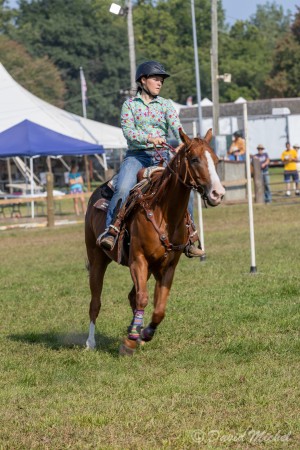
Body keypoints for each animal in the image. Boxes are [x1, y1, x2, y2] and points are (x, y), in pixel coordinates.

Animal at [84, 128, 225, 354]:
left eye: (216, 159)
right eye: (194, 159)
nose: (217, 194)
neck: (163, 213)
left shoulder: (167, 266)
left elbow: (159, 308)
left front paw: (143, 334)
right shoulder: (138, 260)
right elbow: (143, 298)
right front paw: (129, 342)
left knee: (132, 297)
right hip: (97, 258)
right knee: (95, 302)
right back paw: (90, 342)